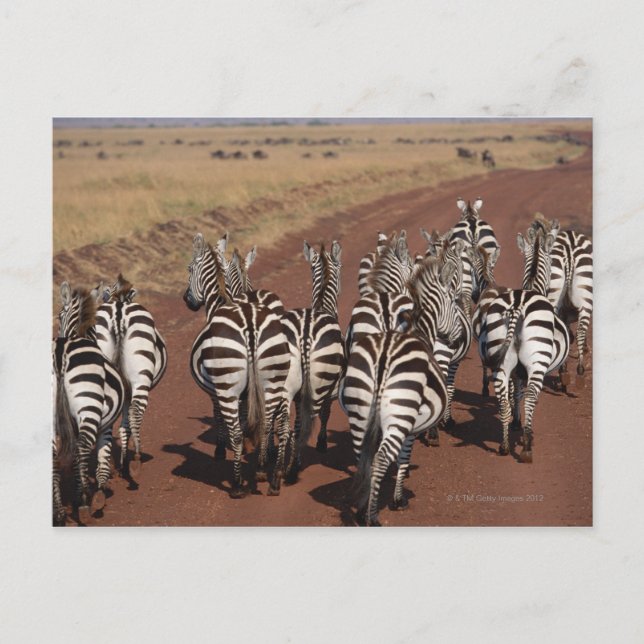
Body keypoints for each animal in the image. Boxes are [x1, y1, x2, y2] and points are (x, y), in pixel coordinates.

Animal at [53, 283, 124, 525]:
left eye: (59, 316)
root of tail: (62, 351)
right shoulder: (106, 425)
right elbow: (102, 455)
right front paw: (99, 493)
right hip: (90, 408)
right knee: (83, 448)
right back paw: (84, 502)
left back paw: (60, 512)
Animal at [93, 274, 167, 479]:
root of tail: (119, 308)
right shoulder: (128, 391)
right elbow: (126, 424)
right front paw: (125, 462)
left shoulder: (123, 391)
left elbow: (122, 426)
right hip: (140, 377)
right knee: (136, 412)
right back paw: (136, 459)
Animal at [184, 233, 292, 496]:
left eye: (189, 268)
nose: (187, 301)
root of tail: (250, 324)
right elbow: (251, 418)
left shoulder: (215, 391)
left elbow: (221, 418)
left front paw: (220, 450)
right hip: (275, 378)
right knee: (273, 422)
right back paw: (268, 471)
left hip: (228, 386)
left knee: (237, 429)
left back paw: (237, 484)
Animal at [282, 241, 345, 480]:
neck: (321, 305)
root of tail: (306, 333)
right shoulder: (331, 389)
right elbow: (327, 413)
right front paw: (322, 443)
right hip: (319, 384)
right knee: (306, 424)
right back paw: (293, 469)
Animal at [340, 256, 460, 526]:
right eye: (454, 302)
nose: (457, 339)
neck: (419, 331)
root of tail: (384, 354)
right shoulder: (412, 427)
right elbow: (404, 458)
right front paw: (398, 499)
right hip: (400, 415)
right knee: (381, 458)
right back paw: (372, 517)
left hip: (359, 413)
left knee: (363, 458)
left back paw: (362, 509)